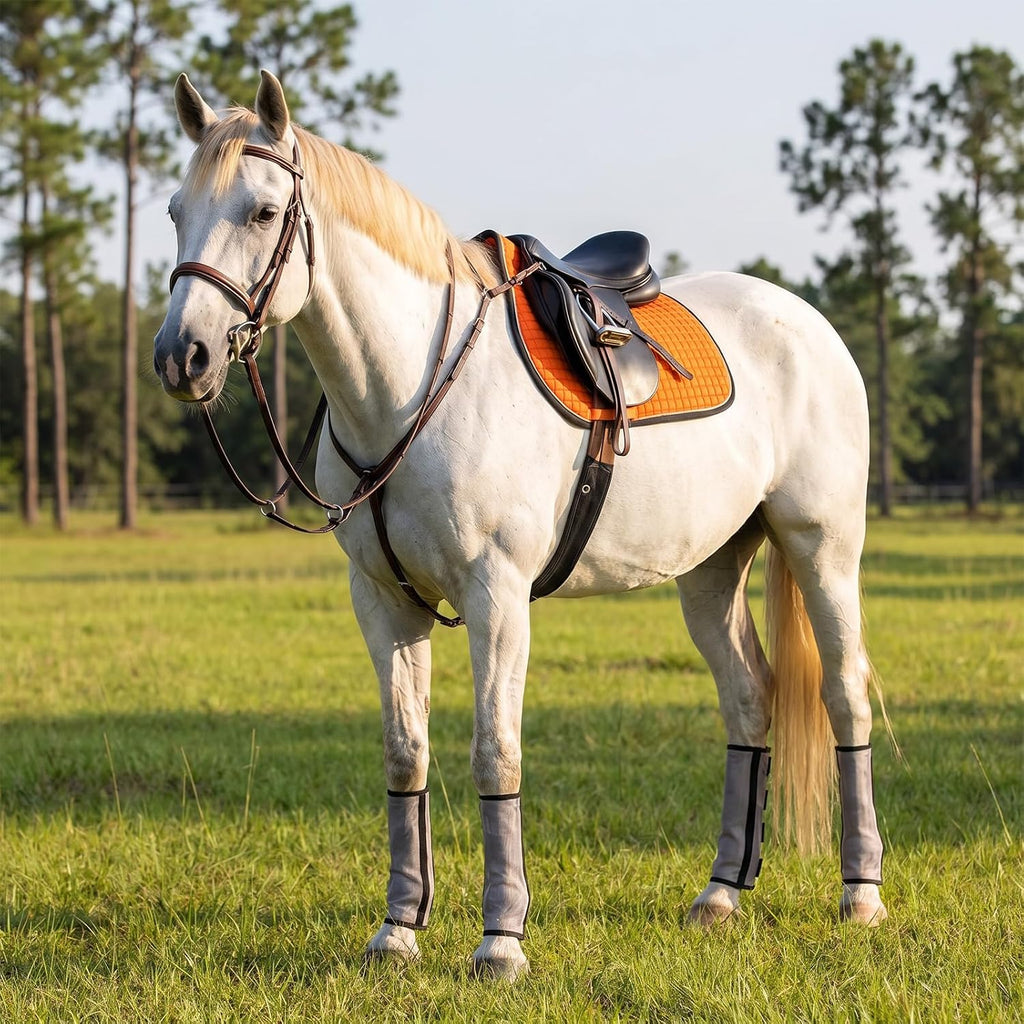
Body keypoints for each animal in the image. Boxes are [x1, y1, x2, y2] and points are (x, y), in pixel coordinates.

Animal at [154, 70, 888, 980]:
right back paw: (720, 893)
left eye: (261, 211)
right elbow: (405, 752)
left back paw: (861, 896)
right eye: (176, 210)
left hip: (824, 547)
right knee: (750, 701)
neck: (412, 385)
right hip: (712, 572)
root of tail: (806, 319)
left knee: (845, 695)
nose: (181, 356)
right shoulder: (382, 602)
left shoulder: (497, 597)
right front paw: (398, 930)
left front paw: (500, 941)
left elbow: (493, 752)